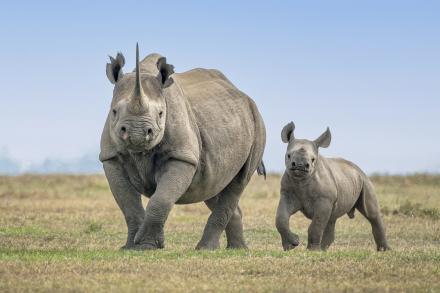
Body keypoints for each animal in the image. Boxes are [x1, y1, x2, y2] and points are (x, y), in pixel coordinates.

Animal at [99, 44, 264, 250]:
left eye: (161, 114)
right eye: (114, 112)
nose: (137, 134)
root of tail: (240, 92)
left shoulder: (182, 156)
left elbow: (160, 200)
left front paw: (147, 246)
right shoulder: (111, 156)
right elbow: (128, 203)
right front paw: (131, 248)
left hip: (257, 122)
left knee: (239, 181)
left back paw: (206, 249)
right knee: (213, 185)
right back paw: (235, 249)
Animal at [276, 122, 390, 250]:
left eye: (313, 159)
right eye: (288, 156)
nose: (300, 165)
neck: (301, 180)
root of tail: (358, 168)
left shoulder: (325, 199)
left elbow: (317, 224)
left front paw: (312, 250)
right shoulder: (287, 194)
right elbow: (281, 218)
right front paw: (291, 245)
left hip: (365, 181)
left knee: (372, 214)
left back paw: (385, 250)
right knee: (331, 219)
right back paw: (323, 250)